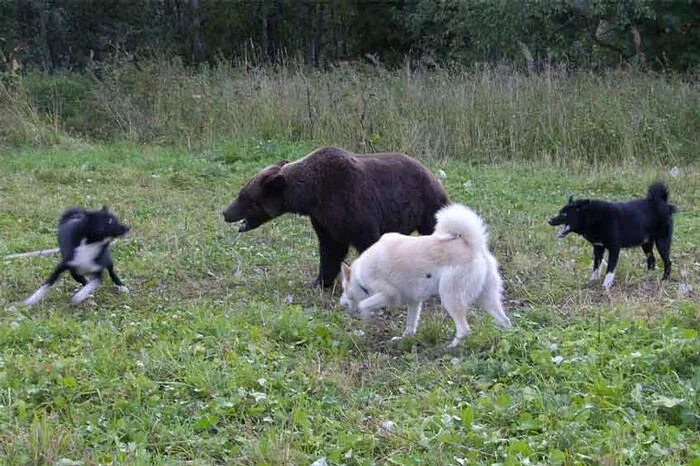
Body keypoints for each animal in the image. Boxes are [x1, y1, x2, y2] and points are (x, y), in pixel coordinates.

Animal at [223, 147, 448, 288]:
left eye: (243, 197)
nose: (225, 212)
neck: (311, 195)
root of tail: (431, 173)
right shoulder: (324, 219)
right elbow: (330, 249)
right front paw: (319, 281)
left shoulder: (352, 205)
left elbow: (366, 241)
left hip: (427, 204)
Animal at [342, 202, 512, 348]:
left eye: (344, 288)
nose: (341, 303)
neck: (359, 276)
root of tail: (474, 246)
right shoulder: (413, 301)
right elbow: (410, 324)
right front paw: (404, 338)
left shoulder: (389, 294)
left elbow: (364, 304)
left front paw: (366, 317)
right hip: (487, 299)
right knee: (505, 321)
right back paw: (505, 338)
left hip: (450, 296)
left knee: (464, 329)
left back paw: (450, 347)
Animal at [548, 181, 676, 288]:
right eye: (560, 212)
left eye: (564, 214)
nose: (549, 220)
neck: (593, 217)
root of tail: (662, 203)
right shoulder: (598, 248)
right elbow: (596, 267)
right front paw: (592, 281)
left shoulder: (614, 248)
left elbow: (610, 269)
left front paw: (606, 286)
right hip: (646, 244)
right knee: (652, 260)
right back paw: (647, 277)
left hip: (662, 243)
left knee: (668, 262)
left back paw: (664, 280)